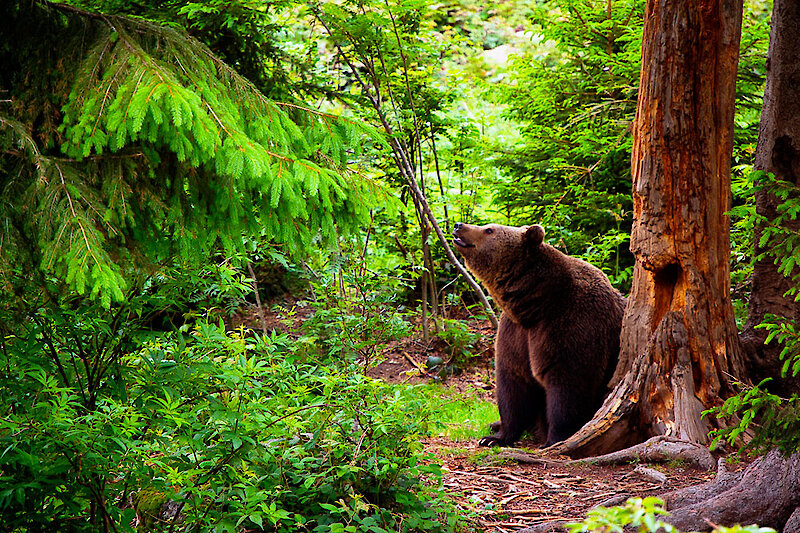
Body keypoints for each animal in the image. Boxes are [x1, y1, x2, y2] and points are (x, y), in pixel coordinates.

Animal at [450, 220, 624, 444]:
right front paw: (495, 437)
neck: (535, 304)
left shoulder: (572, 324)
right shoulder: (516, 333)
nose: (458, 225)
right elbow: (513, 383)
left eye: (489, 229)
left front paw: (555, 439)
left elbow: (569, 384)